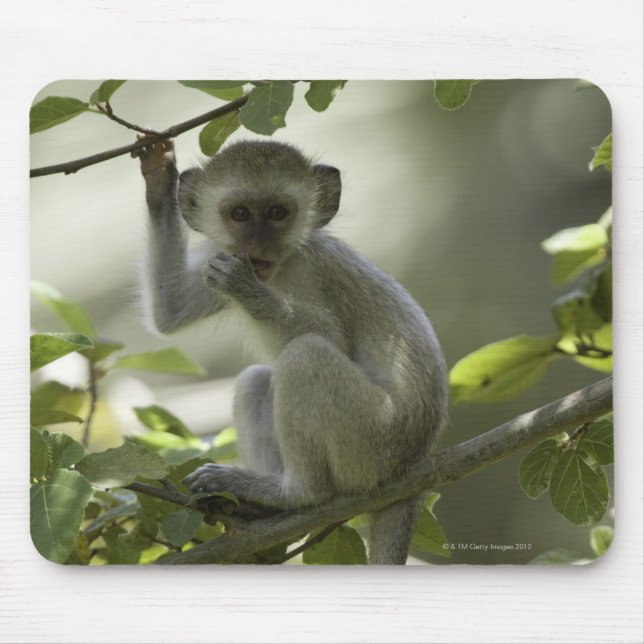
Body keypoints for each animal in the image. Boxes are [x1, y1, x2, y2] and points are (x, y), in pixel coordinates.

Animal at [136, 137, 448, 564]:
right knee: (257, 379)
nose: (257, 245)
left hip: (374, 444)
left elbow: (330, 336)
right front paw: (158, 177)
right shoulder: (218, 255)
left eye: (277, 213)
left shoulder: (310, 270)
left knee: (305, 355)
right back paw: (257, 505)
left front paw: (246, 290)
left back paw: (294, 495)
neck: (281, 266)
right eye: (240, 214)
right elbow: (172, 310)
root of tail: (416, 463)